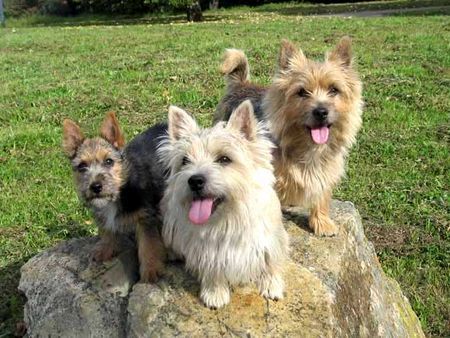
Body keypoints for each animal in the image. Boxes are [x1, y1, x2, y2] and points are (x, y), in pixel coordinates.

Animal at [62, 112, 167, 282]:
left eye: (109, 161)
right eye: (82, 166)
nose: (96, 186)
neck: (120, 190)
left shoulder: (145, 218)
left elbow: (148, 245)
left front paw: (151, 270)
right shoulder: (101, 214)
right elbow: (106, 231)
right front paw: (105, 249)